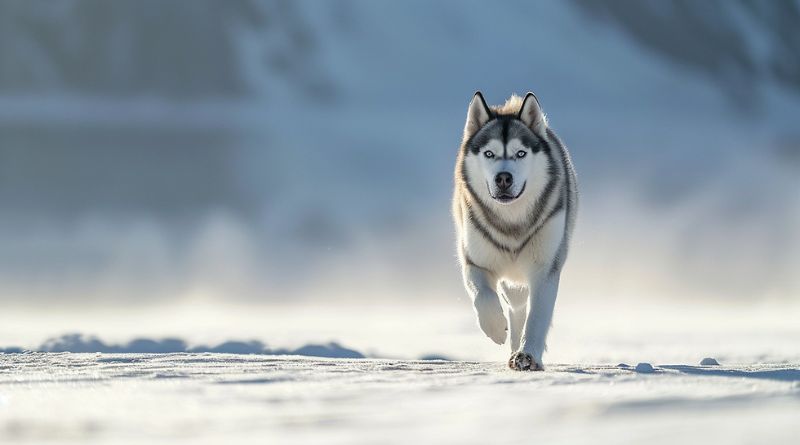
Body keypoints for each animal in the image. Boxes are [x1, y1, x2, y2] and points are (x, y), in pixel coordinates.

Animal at [450, 92, 576, 370]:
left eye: (520, 153)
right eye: (489, 153)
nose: (504, 178)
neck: (512, 223)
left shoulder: (545, 268)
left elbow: (537, 316)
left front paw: (528, 355)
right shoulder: (475, 261)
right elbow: (483, 297)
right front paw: (496, 328)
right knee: (515, 307)